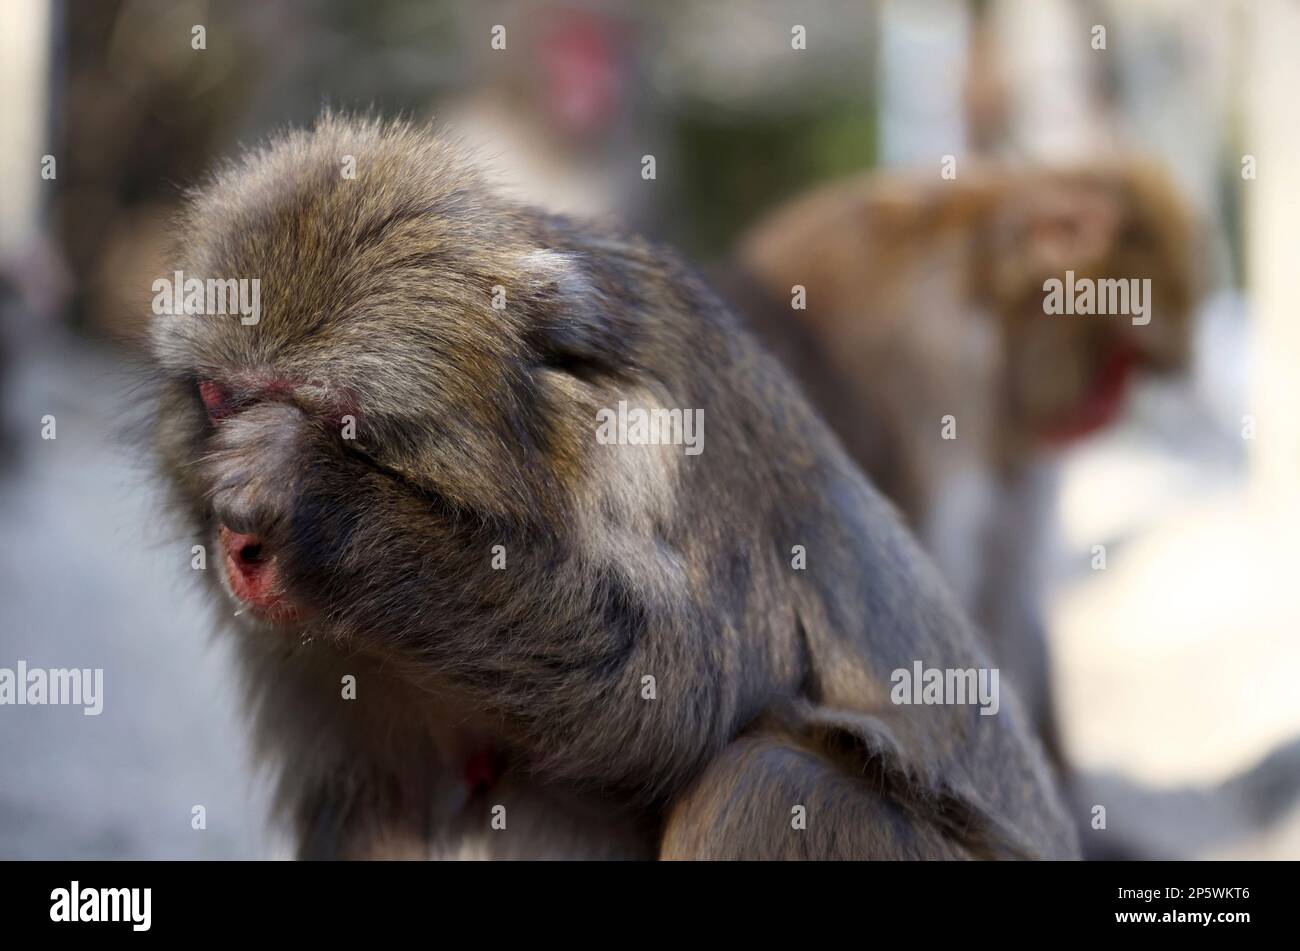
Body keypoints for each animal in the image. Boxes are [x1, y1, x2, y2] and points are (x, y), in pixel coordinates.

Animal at [148, 113, 1077, 860]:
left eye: (332, 423)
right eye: (221, 399)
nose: (238, 544)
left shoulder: (661, 441)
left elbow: (678, 693)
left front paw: (317, 501)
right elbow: (377, 810)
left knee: (776, 781)